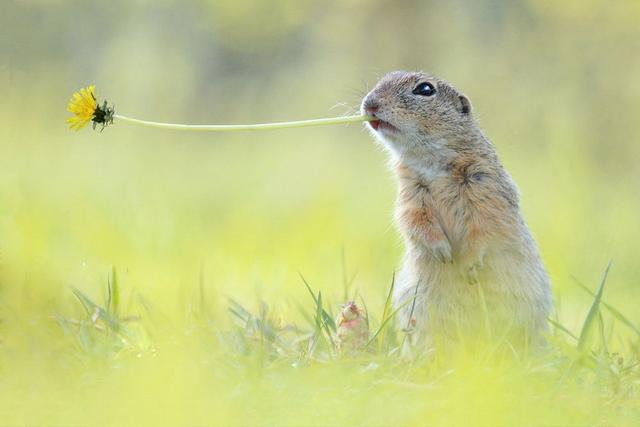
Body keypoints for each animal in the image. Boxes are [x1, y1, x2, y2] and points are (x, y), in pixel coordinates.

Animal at [362, 72, 552, 356]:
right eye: (382, 79)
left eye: (425, 89)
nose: (369, 104)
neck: (432, 162)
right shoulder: (411, 194)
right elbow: (413, 220)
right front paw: (442, 252)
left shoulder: (485, 185)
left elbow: (485, 225)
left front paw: (468, 266)